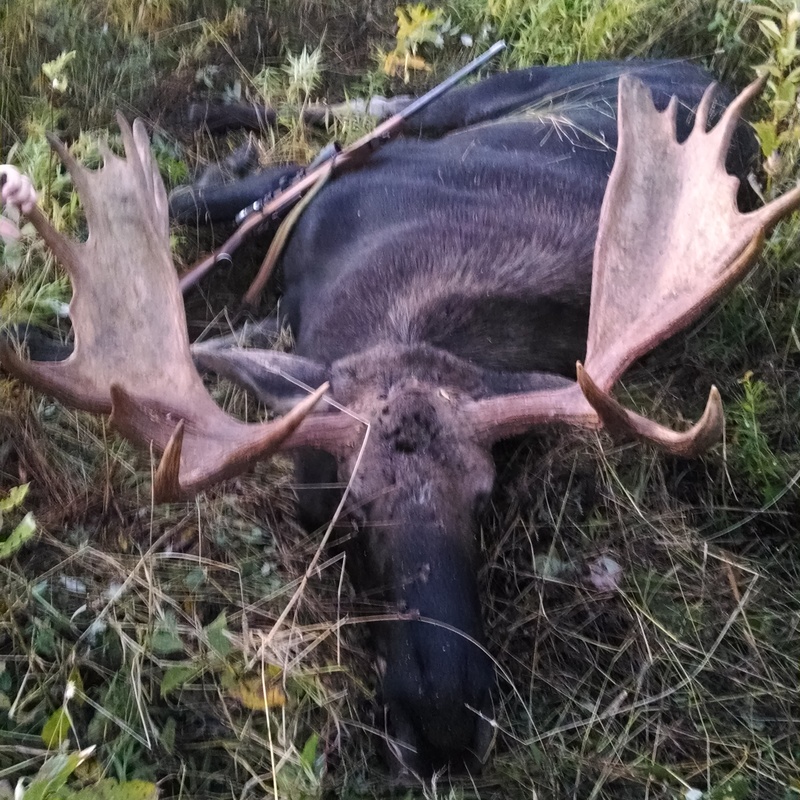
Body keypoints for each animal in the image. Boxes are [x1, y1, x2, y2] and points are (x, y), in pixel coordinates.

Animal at [2, 59, 799, 777]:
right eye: (347, 511)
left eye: (486, 499)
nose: (443, 724)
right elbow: (237, 195)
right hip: (495, 91)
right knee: (371, 108)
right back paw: (216, 117)